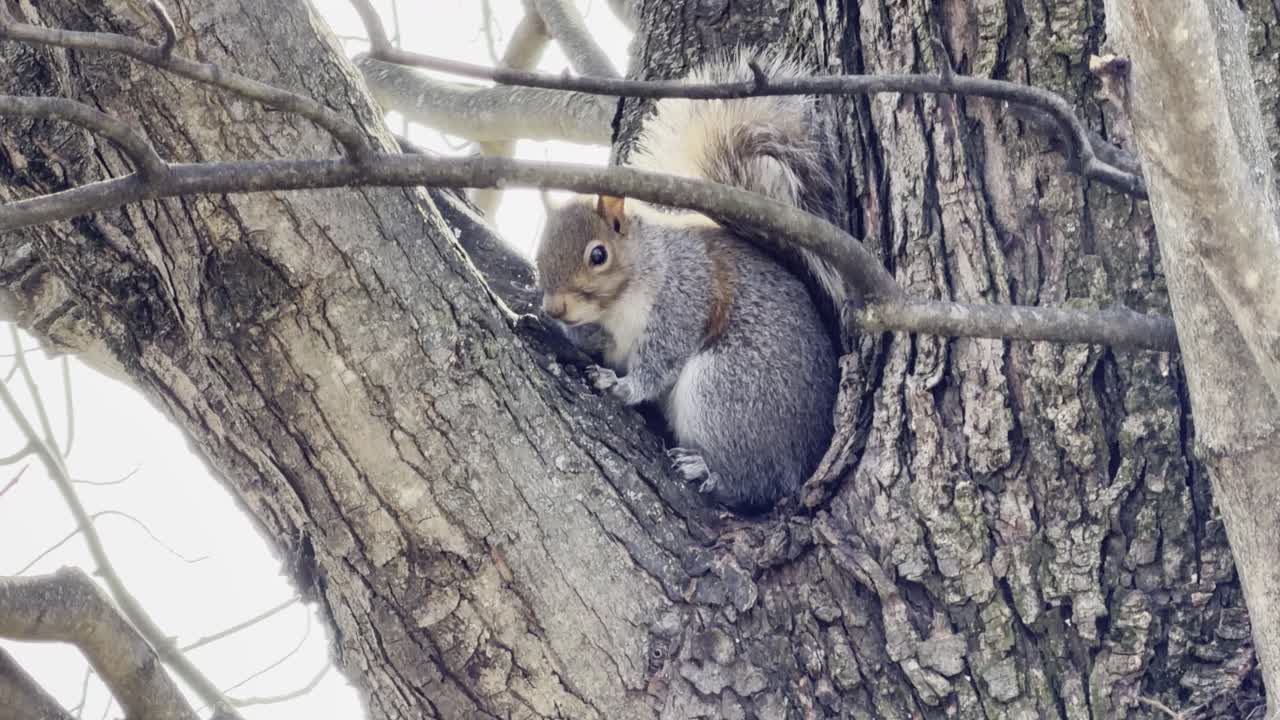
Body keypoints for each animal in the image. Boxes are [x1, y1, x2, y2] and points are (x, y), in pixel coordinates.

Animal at [535, 50, 842, 513]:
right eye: (538, 253)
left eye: (598, 255)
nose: (554, 308)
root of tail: (808, 452)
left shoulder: (685, 295)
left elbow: (660, 359)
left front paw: (622, 386)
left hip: (728, 390)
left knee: (760, 482)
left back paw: (708, 472)